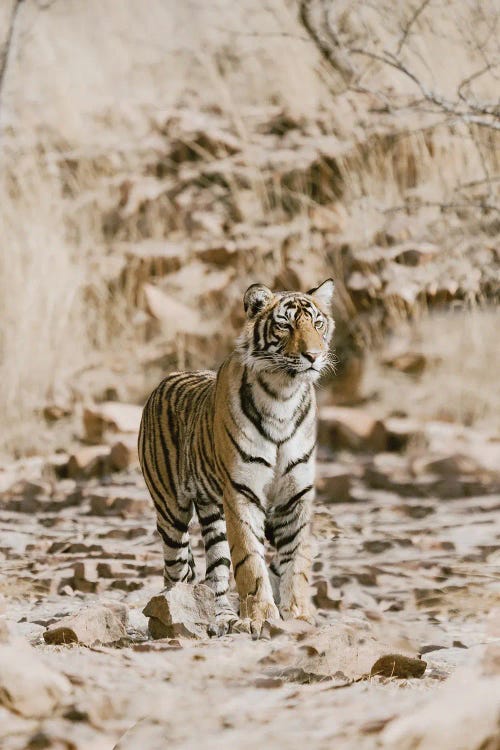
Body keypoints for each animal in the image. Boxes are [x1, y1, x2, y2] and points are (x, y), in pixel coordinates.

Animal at [138, 280, 336, 636]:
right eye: (285, 324)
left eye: (318, 323)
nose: (313, 356)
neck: (284, 396)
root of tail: (165, 379)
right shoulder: (242, 492)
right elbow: (250, 561)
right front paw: (260, 617)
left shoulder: (295, 495)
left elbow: (296, 561)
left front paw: (298, 614)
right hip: (171, 512)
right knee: (176, 572)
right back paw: (173, 619)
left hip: (213, 511)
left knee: (215, 572)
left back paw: (224, 619)